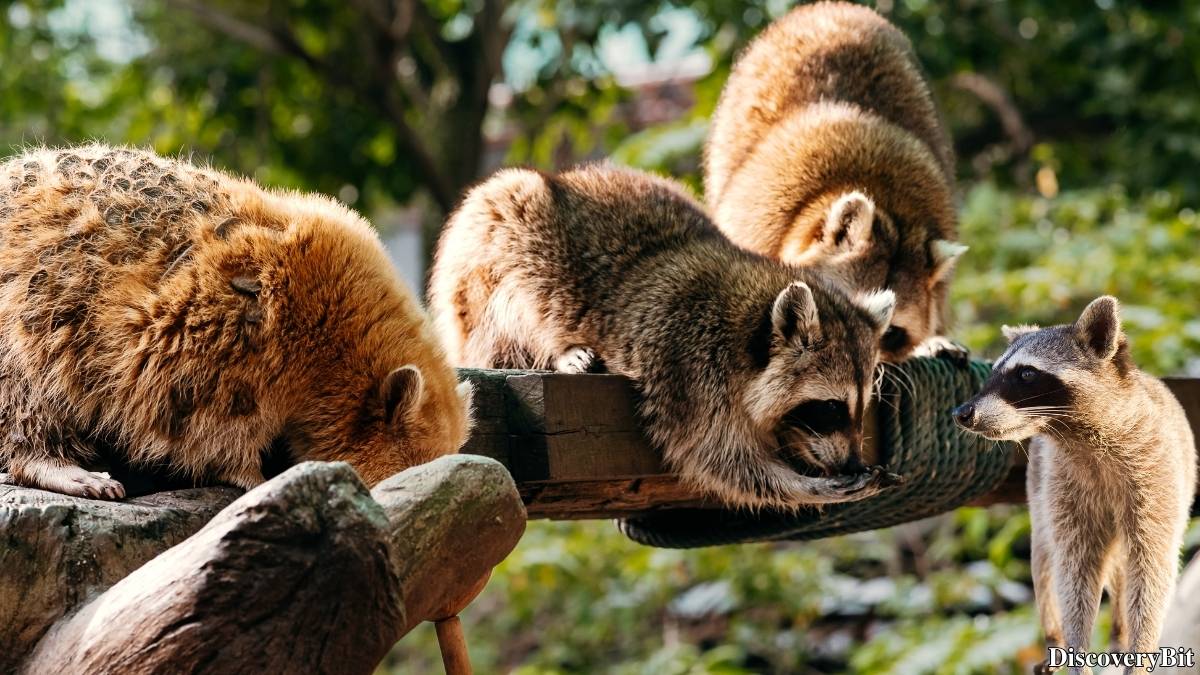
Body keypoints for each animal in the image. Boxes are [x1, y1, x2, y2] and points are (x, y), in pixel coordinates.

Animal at [0, 145, 473, 499]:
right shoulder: (225, 326)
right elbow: (203, 414)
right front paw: (253, 474)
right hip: (35, 304)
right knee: (28, 383)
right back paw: (66, 468)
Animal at [429, 164, 901, 510]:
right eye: (831, 407)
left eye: (861, 406)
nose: (852, 461)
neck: (745, 322)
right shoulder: (689, 367)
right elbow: (718, 459)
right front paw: (803, 485)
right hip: (484, 259)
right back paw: (558, 351)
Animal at [953, 297, 1196, 674]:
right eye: (993, 373)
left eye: (1026, 374)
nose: (963, 413)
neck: (1082, 437)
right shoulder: (1062, 485)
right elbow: (1074, 571)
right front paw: (1075, 648)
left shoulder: (1155, 477)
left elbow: (1151, 570)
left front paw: (1140, 649)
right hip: (1039, 490)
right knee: (1043, 559)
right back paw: (1054, 635)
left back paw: (1120, 632)